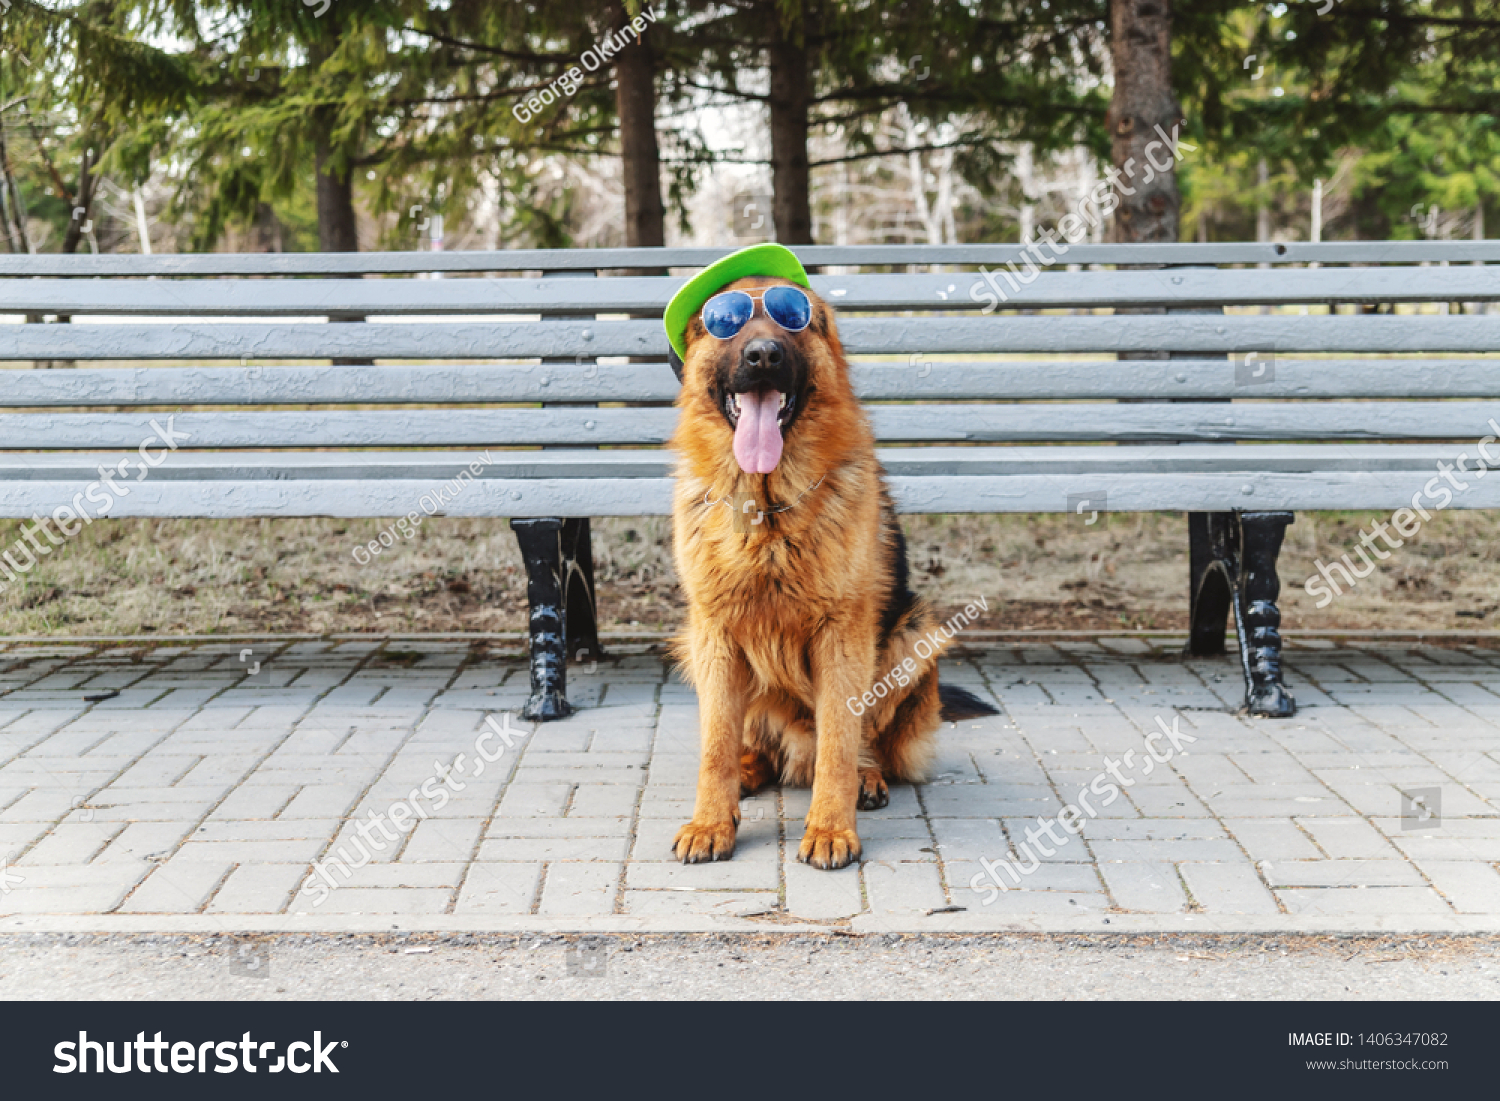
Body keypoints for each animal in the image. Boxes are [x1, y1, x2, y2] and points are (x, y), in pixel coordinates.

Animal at [669, 271, 996, 864]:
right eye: (724, 319)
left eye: (793, 316)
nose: (763, 354)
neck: (768, 509)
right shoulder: (715, 635)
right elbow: (717, 742)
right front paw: (711, 820)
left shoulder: (842, 637)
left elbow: (840, 741)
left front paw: (830, 827)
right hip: (695, 647)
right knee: (758, 744)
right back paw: (750, 771)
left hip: (912, 635)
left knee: (863, 744)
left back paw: (865, 779)